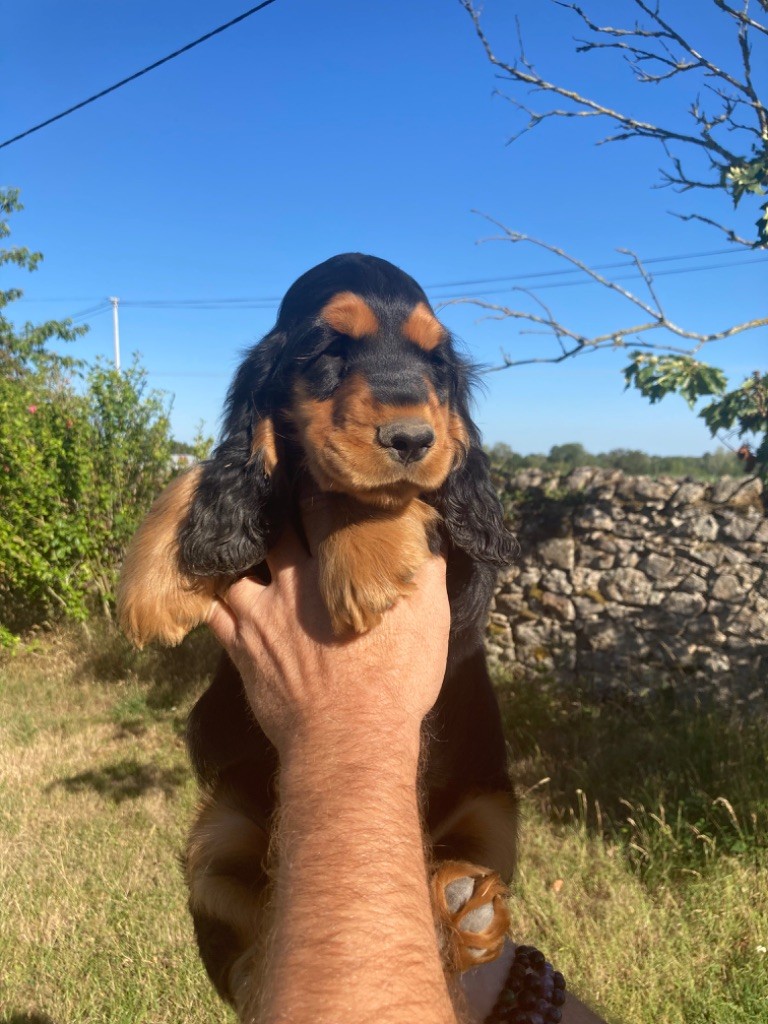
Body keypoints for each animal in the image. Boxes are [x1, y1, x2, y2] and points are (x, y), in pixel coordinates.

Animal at [117, 253, 518, 1017]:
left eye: (435, 361)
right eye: (328, 349)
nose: (411, 438)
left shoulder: (458, 570)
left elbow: (359, 491)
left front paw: (367, 555)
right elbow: (221, 464)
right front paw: (152, 583)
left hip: (492, 806)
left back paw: (462, 908)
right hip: (217, 828)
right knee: (247, 928)